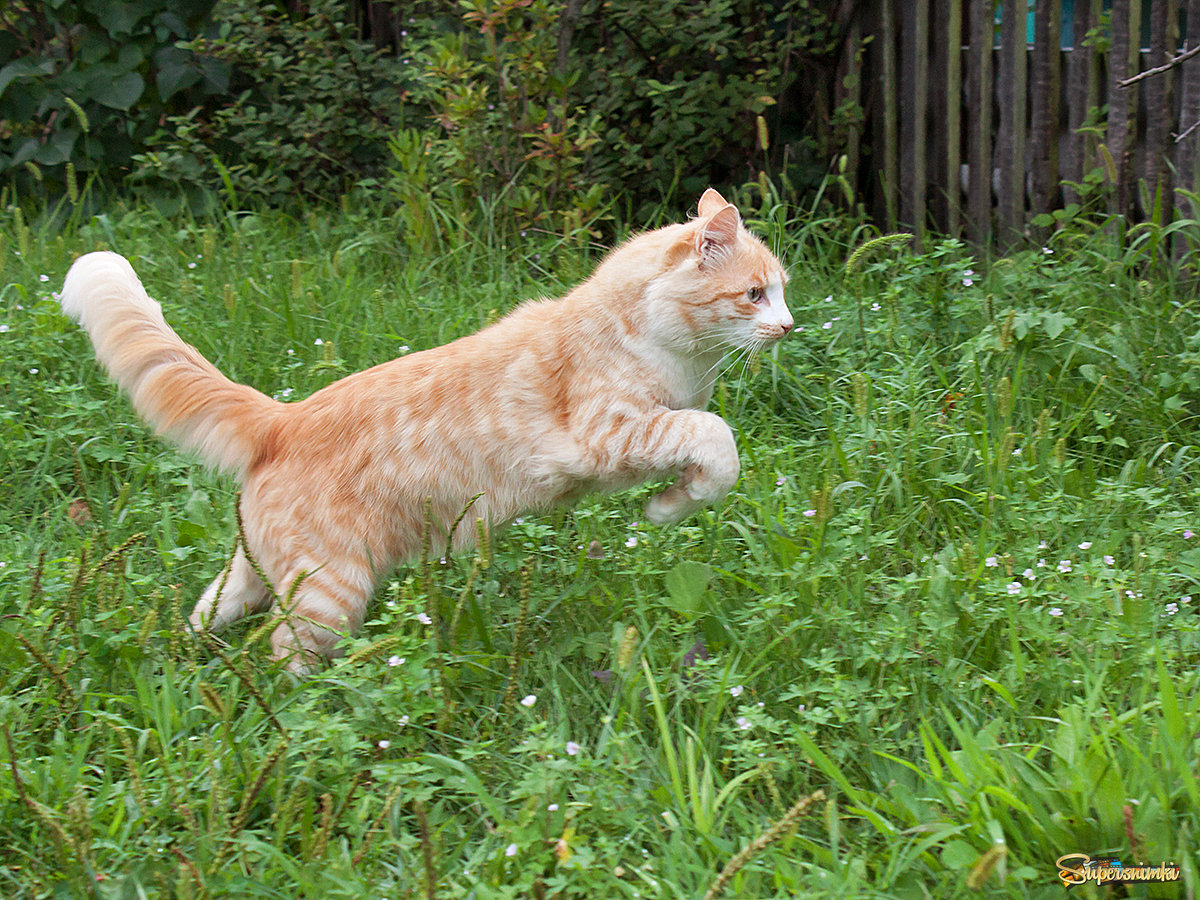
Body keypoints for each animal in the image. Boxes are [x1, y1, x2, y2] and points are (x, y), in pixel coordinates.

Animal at [63, 190, 796, 672]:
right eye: (754, 294)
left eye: (782, 290)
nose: (789, 326)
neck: (672, 351)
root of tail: (282, 416)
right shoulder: (613, 434)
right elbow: (717, 443)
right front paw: (665, 509)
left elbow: (707, 455)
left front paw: (667, 506)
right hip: (330, 593)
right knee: (285, 667)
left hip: (259, 572)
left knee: (204, 611)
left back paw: (175, 663)